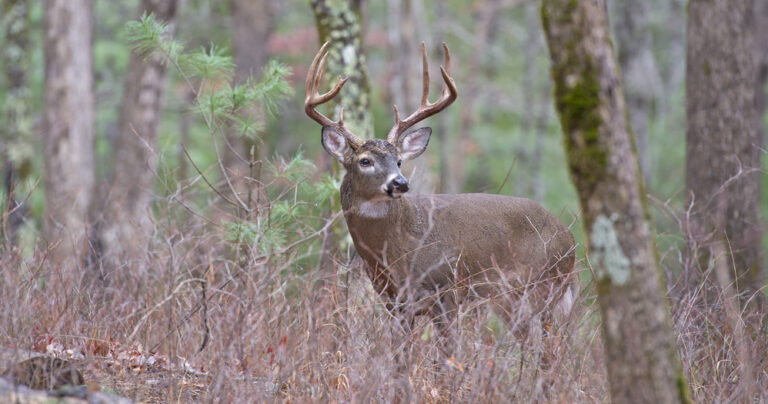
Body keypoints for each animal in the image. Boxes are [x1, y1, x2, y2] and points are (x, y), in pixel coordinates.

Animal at [305, 41, 577, 345]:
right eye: (365, 161)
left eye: (399, 161)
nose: (400, 183)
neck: (397, 252)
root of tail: (569, 237)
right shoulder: (394, 302)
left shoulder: (446, 293)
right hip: (513, 300)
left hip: (545, 285)